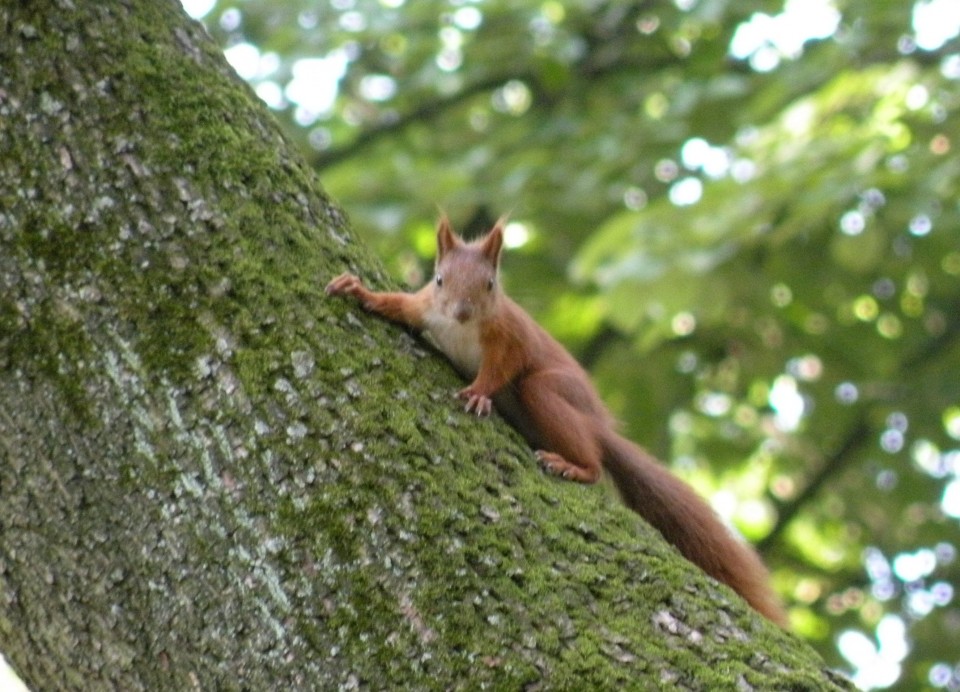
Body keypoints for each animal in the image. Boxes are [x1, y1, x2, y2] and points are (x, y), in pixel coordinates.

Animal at [326, 218, 784, 628]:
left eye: (489, 285)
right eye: (439, 280)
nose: (461, 312)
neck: (462, 328)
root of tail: (600, 426)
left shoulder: (511, 334)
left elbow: (503, 366)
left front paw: (480, 393)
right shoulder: (423, 307)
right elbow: (400, 307)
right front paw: (358, 290)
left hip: (552, 394)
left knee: (582, 446)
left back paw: (574, 466)